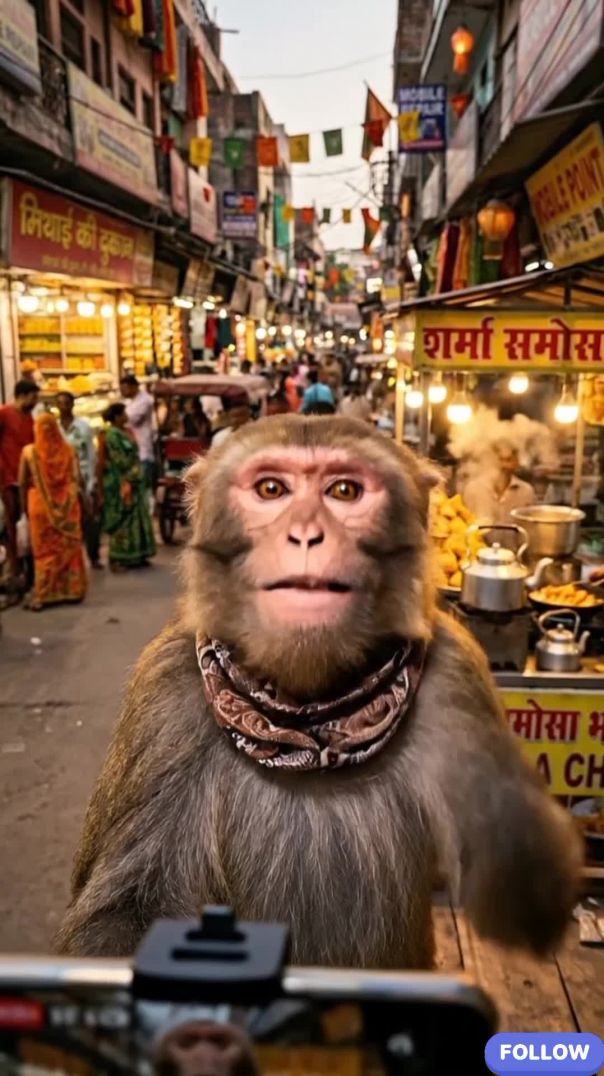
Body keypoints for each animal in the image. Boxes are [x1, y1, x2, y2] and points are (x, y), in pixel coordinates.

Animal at [58, 415, 581, 966]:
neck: (311, 715)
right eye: (271, 489)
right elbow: (122, 913)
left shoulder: (458, 674)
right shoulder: (164, 699)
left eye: (344, 491)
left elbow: (529, 901)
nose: (306, 535)